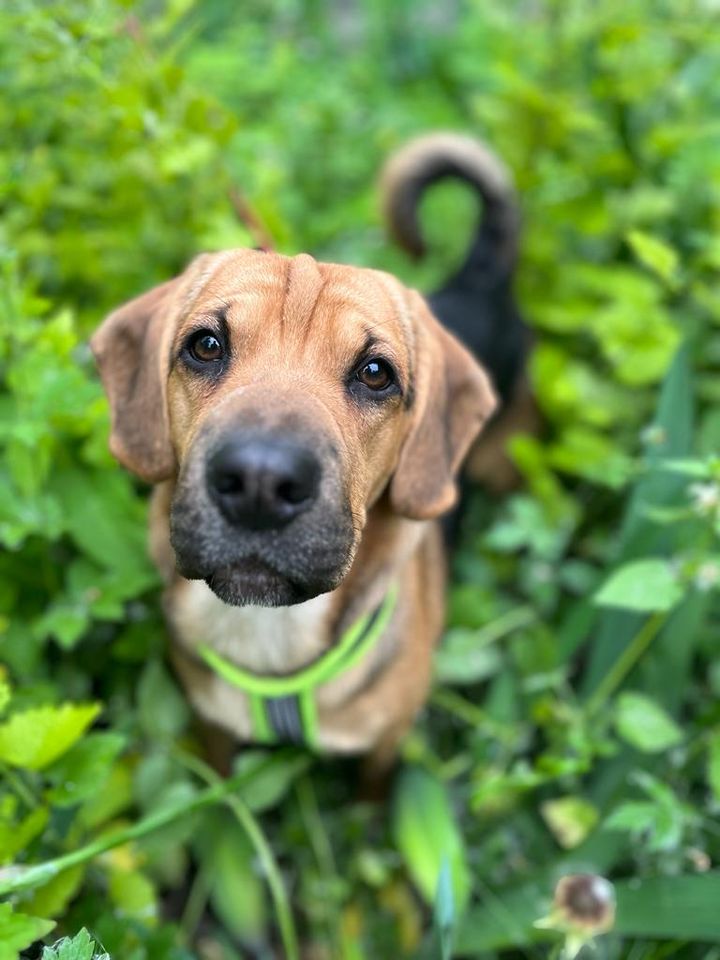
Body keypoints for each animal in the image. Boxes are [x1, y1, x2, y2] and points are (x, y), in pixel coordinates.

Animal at [93, 131, 524, 776]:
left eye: (375, 373)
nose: (259, 484)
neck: (270, 635)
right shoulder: (212, 732)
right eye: (205, 345)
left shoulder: (386, 746)